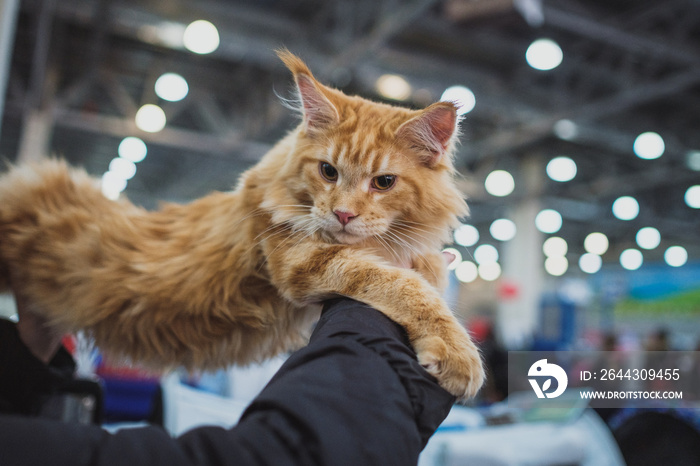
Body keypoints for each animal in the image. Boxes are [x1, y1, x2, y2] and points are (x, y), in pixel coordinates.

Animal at [0, 52, 482, 400]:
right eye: (328, 172)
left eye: (383, 183)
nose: (343, 214)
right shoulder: (301, 260)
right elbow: (402, 284)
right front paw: (457, 352)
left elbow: (420, 268)